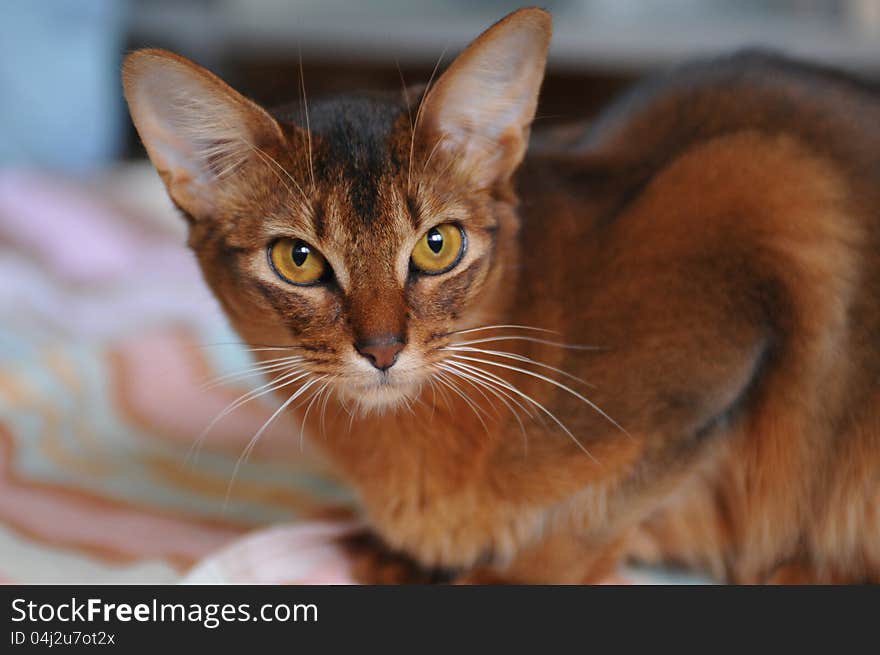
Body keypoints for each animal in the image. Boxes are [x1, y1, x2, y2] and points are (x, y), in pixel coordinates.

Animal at [124, 7, 880, 584]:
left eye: (438, 245)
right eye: (298, 260)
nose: (382, 349)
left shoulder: (760, 208)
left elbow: (592, 517)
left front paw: (505, 575)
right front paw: (397, 555)